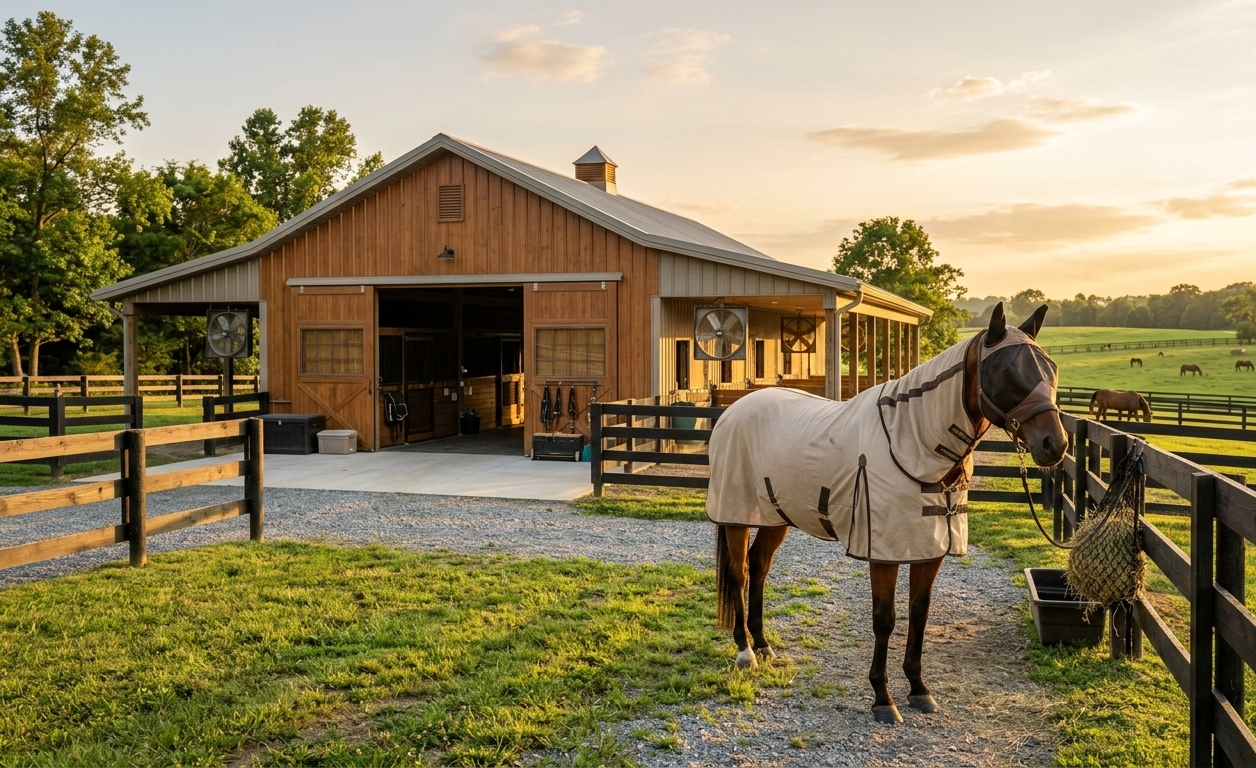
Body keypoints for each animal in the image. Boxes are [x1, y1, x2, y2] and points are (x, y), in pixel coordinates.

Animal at [707, 302, 1066, 724]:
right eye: (1006, 370)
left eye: (1050, 368)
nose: (1055, 444)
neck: (912, 440)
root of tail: (733, 411)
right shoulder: (883, 552)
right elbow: (885, 619)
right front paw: (883, 698)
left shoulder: (928, 550)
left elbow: (918, 614)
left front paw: (919, 689)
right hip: (737, 515)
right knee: (740, 573)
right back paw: (745, 651)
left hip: (776, 517)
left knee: (759, 568)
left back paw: (763, 645)